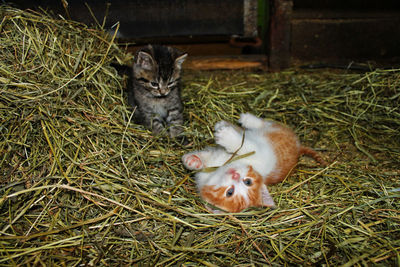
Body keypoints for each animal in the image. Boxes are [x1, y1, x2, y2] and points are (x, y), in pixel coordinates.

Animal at [183, 113, 326, 214]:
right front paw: (193, 160)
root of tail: (298, 147)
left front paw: (227, 137)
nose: (235, 175)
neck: (224, 165)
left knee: (264, 124)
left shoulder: (260, 157)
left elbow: (246, 147)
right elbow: (207, 158)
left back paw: (243, 121)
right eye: (230, 192)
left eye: (248, 182)